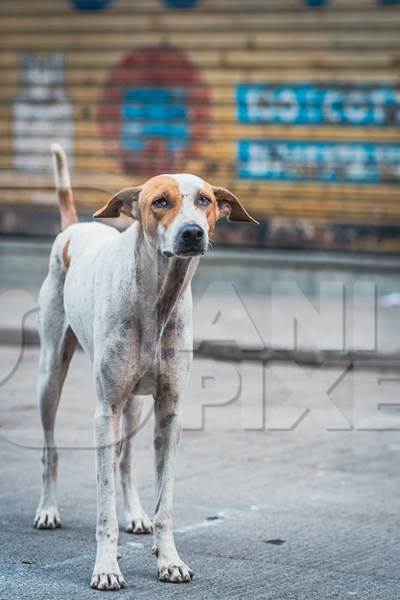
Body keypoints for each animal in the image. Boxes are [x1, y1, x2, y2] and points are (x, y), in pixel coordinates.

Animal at [34, 144, 258, 592]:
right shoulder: (105, 413)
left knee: (125, 461)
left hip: (135, 404)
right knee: (52, 449)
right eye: (160, 202)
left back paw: (135, 514)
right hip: (51, 377)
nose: (192, 233)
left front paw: (168, 559)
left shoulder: (169, 411)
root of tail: (72, 230)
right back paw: (48, 509)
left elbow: (164, 499)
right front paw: (105, 567)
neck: (157, 296)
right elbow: (103, 505)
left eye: (204, 200)